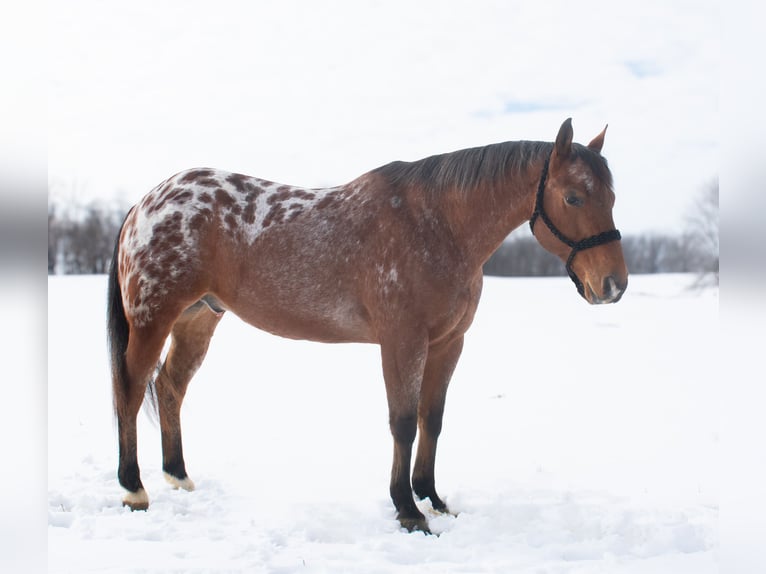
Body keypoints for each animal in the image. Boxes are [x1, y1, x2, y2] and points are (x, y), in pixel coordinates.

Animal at [108, 118, 632, 536]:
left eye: (611, 196)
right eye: (573, 196)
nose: (613, 284)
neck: (438, 225)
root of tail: (145, 203)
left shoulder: (448, 343)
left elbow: (431, 420)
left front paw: (432, 498)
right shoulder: (402, 341)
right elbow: (402, 423)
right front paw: (407, 510)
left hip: (198, 318)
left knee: (170, 386)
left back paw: (178, 476)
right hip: (153, 317)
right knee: (130, 389)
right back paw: (134, 489)